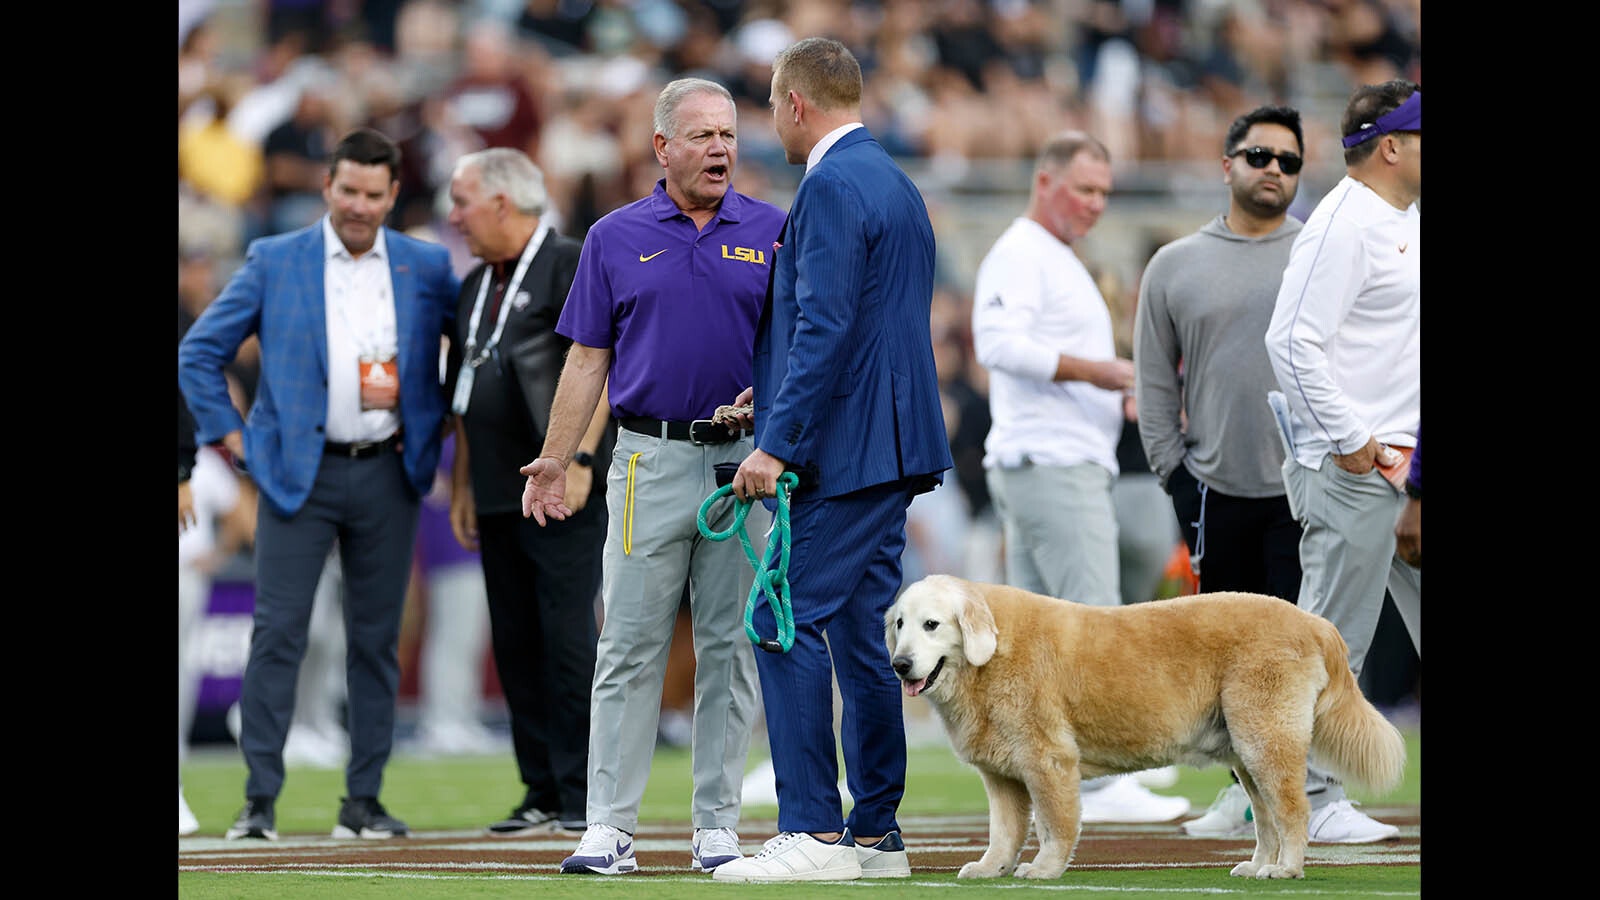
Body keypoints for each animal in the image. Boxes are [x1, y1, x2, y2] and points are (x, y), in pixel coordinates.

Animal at [889, 573, 1401, 877]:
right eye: (899, 624)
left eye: (932, 624)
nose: (900, 664)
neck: (990, 656)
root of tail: (1313, 622)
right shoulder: (1001, 775)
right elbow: (1004, 830)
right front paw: (990, 868)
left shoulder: (1048, 760)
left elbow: (1055, 823)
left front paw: (1044, 869)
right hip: (1247, 754)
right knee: (1267, 819)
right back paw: (1256, 867)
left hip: (1266, 740)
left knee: (1293, 811)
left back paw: (1287, 868)